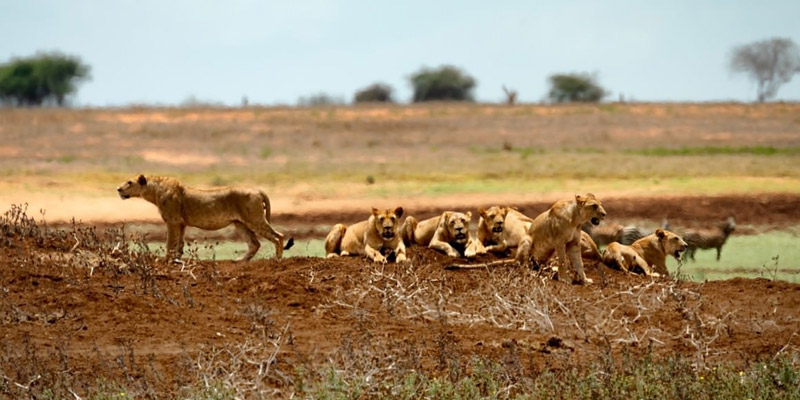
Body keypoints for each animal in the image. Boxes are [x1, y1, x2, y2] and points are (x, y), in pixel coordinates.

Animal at [117, 175, 292, 262]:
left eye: (129, 182)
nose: (118, 188)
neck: (153, 190)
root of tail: (257, 190)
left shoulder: (172, 221)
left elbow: (170, 243)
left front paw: (165, 261)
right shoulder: (181, 223)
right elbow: (179, 244)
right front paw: (177, 259)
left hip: (254, 219)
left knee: (278, 236)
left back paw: (277, 260)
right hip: (240, 224)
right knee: (254, 244)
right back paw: (240, 261)